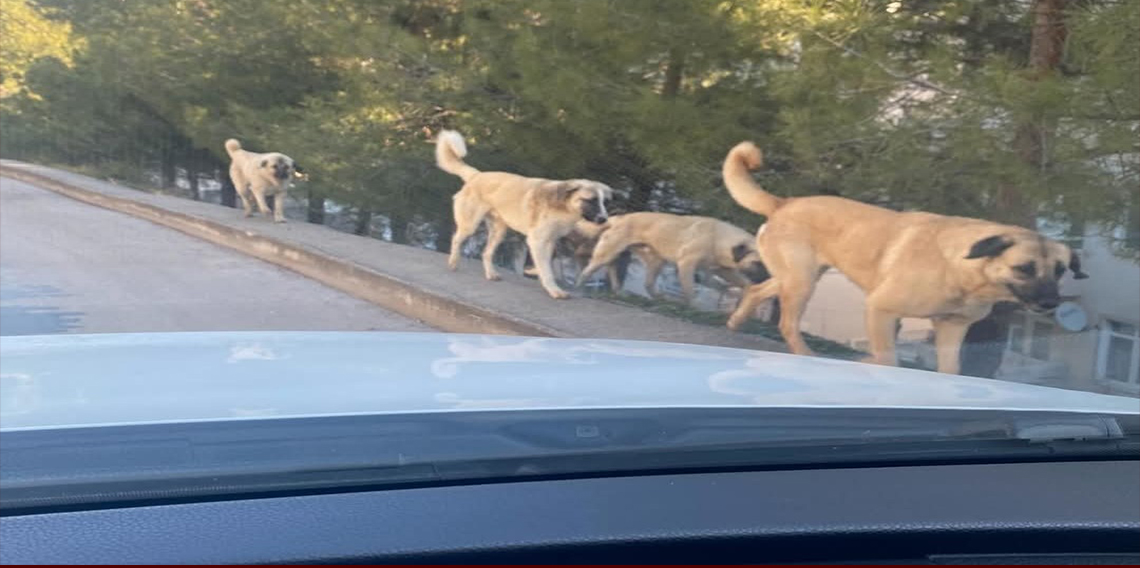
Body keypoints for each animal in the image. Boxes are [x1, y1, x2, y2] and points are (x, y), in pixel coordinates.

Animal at [435, 128, 615, 296]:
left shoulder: (549, 241)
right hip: (470, 225)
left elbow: (546, 265)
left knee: (486, 253)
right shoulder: (538, 241)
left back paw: (491, 274)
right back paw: (453, 262)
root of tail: (476, 175)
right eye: (591, 200)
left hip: (498, 231)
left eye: (605, 202)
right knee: (456, 240)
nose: (603, 219)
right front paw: (554, 290)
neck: (563, 207)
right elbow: (547, 269)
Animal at [574, 212, 770, 301]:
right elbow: (690, 290)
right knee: (589, 270)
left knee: (638, 279)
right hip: (607, 253)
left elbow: (743, 283)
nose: (768, 278)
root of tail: (618, 218)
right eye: (758, 263)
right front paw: (692, 306)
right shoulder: (686, 265)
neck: (719, 239)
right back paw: (580, 287)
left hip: (655, 261)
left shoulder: (724, 271)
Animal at [720, 139, 1085, 374]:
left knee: (758, 290)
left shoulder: (953, 330)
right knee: (787, 323)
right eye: (1024, 268)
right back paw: (803, 354)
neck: (963, 272)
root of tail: (784, 202)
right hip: (802, 282)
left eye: (1060, 270)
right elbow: (887, 359)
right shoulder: (881, 310)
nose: (1051, 303)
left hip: (798, 277)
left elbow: (950, 372)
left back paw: (736, 322)